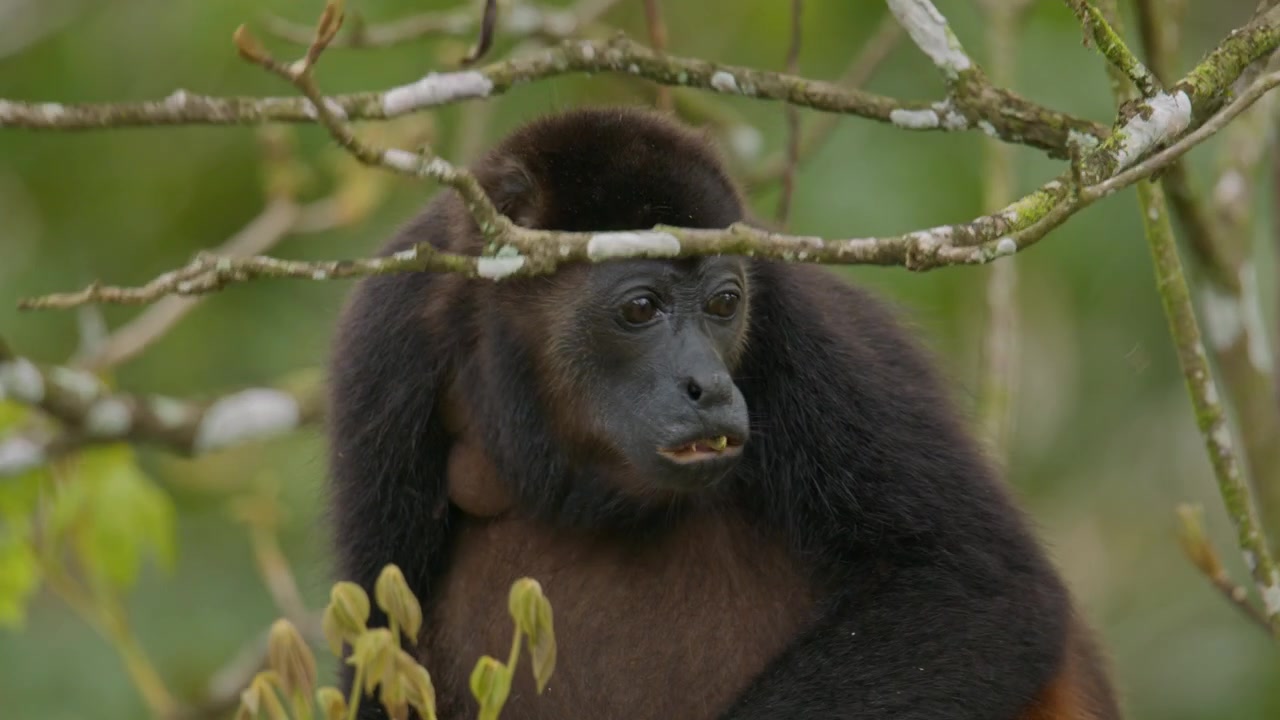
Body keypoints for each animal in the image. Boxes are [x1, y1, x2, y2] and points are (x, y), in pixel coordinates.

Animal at [326, 106, 1122, 720]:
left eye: (724, 303)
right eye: (640, 308)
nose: (709, 385)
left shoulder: (796, 321)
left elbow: (980, 592)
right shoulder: (385, 336)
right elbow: (380, 637)